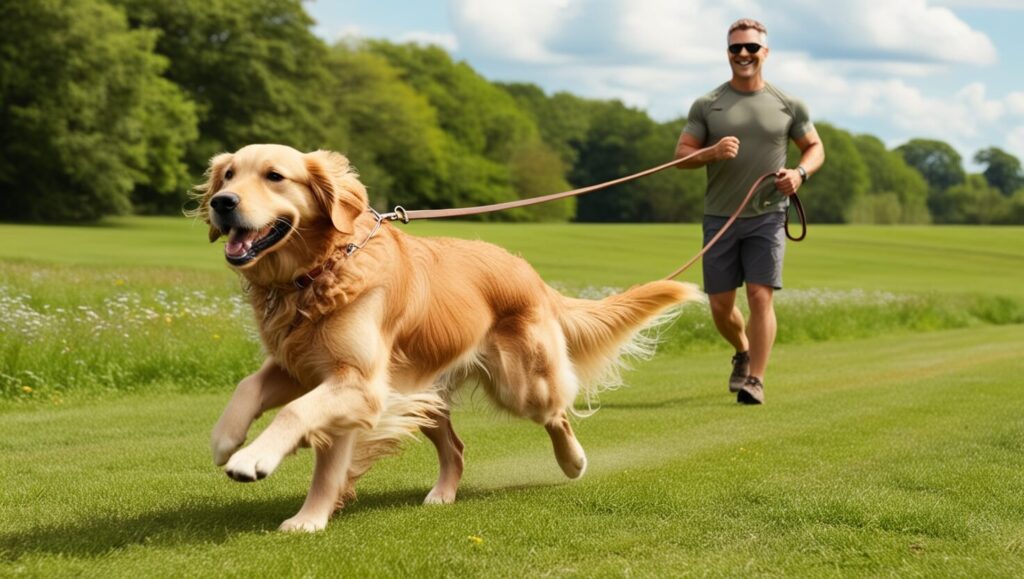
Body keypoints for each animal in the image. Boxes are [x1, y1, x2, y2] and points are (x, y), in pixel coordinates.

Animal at [194, 145, 700, 532]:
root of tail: (531, 274)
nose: (222, 201)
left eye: (275, 176)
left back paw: (573, 461)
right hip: (422, 389)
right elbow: (251, 388)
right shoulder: (303, 367)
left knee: (557, 413)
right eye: (229, 173)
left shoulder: (359, 383)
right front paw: (228, 442)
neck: (318, 271)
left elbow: (298, 417)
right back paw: (442, 494)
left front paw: (258, 464)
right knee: (456, 448)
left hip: (520, 384)